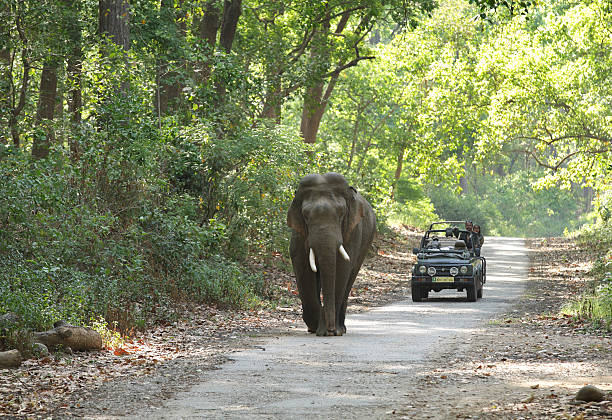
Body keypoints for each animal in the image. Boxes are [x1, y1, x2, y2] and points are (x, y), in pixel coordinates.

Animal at [286, 172, 372, 336]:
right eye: (306, 216)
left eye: (341, 214)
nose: (330, 330)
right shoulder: (298, 234)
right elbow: (303, 269)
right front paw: (317, 327)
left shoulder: (353, 232)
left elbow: (342, 268)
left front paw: (331, 331)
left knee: (350, 278)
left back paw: (341, 328)